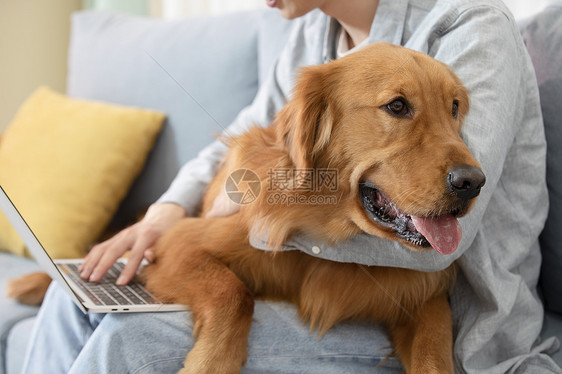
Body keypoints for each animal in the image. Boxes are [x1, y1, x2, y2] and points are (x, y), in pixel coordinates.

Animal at [142, 41, 484, 374]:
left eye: (454, 107)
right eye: (397, 106)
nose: (473, 182)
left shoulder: (426, 295)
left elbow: (435, 351)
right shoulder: (180, 240)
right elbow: (234, 293)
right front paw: (212, 361)